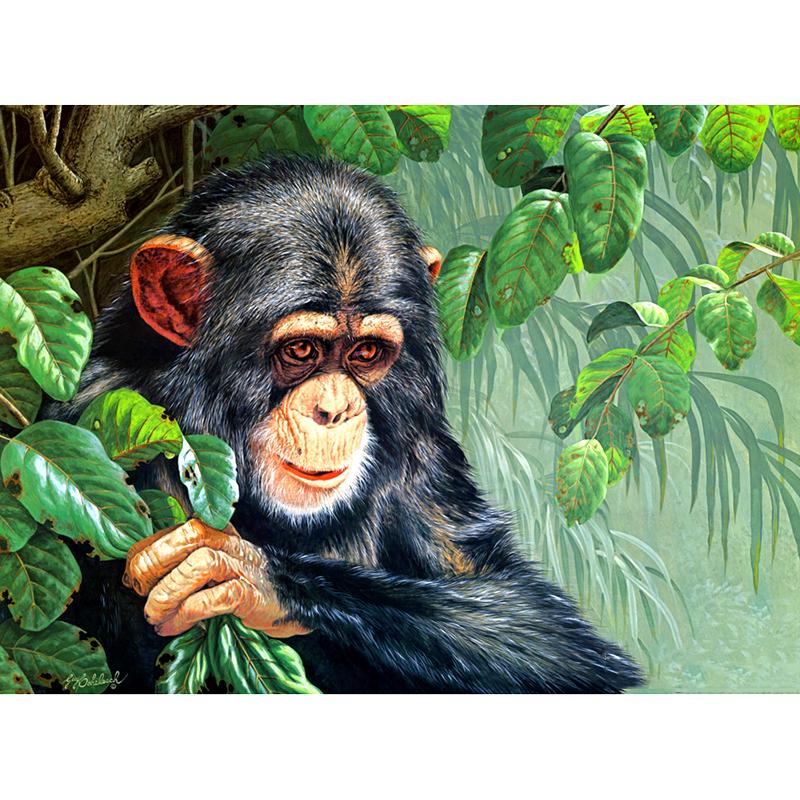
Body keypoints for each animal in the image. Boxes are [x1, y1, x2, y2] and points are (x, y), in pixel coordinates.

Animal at [52, 156, 643, 693]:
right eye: (301, 350)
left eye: (366, 352)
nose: (335, 409)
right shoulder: (104, 429)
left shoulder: (423, 446)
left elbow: (543, 628)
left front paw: (252, 577)